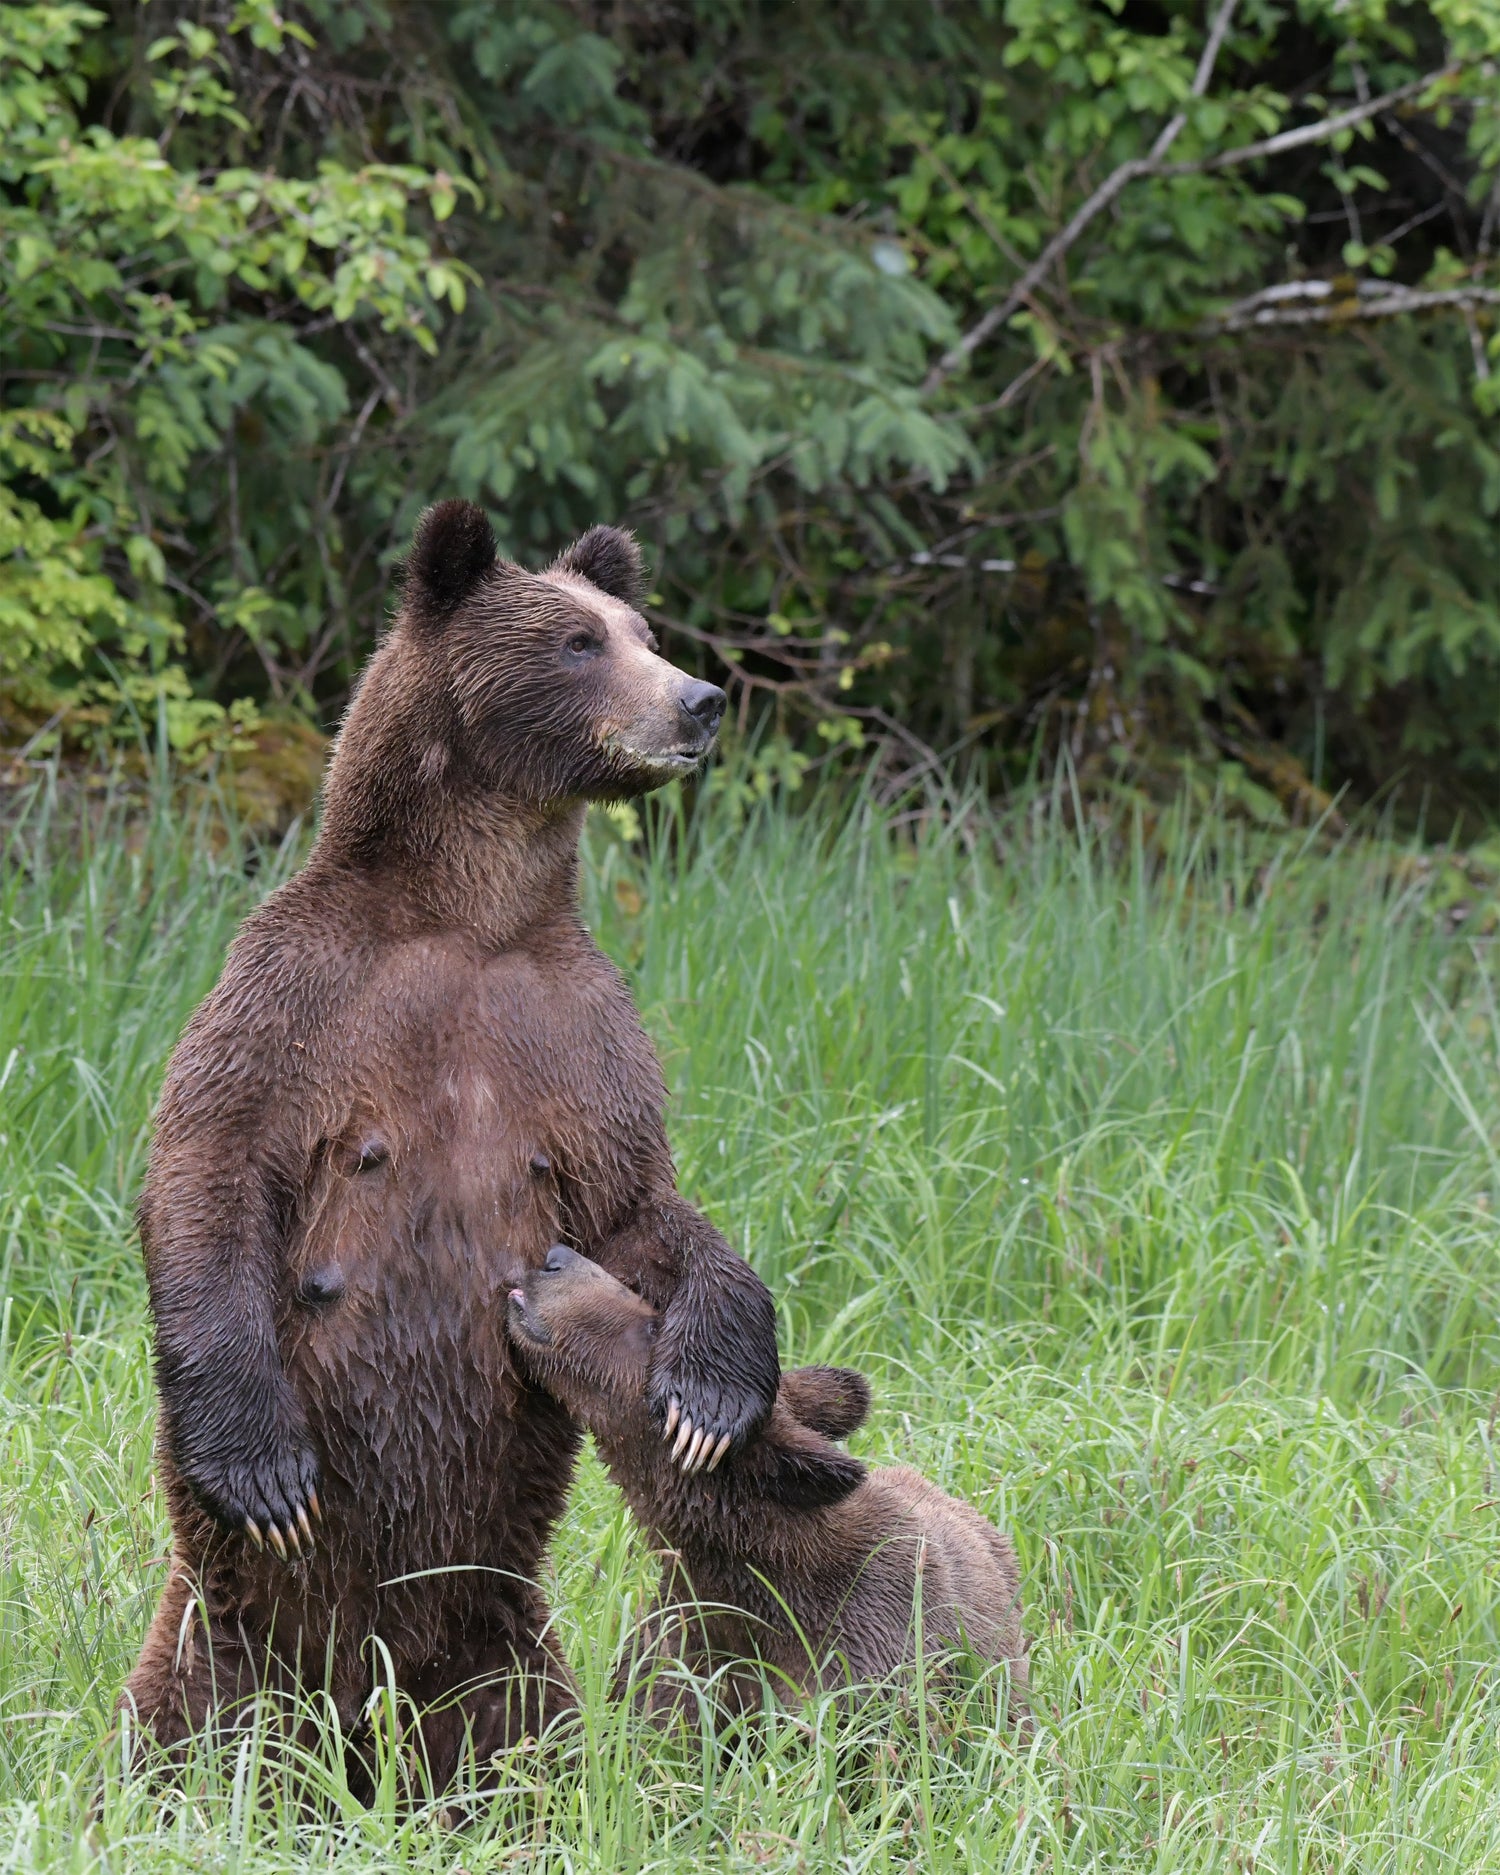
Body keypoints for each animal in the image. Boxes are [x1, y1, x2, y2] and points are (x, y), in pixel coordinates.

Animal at [122, 503, 784, 1790]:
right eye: (579, 641)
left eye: (642, 630)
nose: (700, 698)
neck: (471, 911)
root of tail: (361, 1702)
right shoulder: (299, 999)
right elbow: (207, 1172)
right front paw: (263, 1465)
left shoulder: (575, 1029)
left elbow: (638, 1207)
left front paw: (710, 1391)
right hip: (227, 1622)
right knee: (192, 1714)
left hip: (499, 1631)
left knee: (516, 1723)